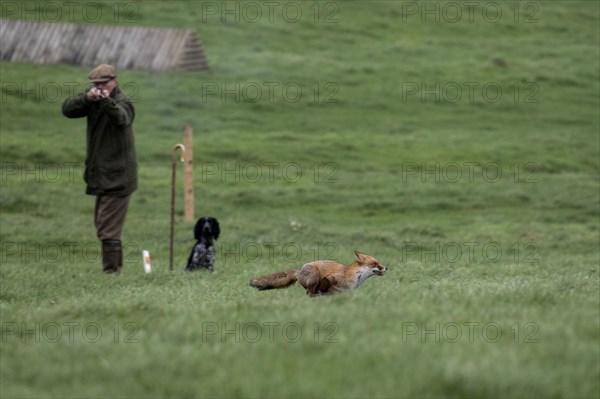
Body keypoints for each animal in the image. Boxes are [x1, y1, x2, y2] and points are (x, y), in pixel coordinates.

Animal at [250, 250, 386, 296]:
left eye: (378, 263)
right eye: (375, 264)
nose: (386, 268)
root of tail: (299, 270)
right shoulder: (331, 278)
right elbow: (326, 287)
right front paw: (324, 294)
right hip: (315, 276)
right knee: (310, 293)